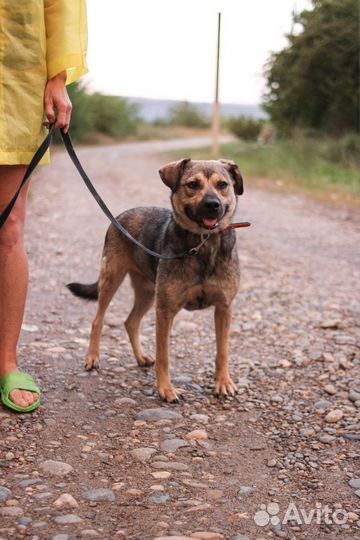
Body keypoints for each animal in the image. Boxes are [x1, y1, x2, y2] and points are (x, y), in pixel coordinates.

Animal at [66, 158, 243, 402]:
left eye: (223, 185)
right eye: (193, 185)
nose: (212, 204)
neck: (203, 244)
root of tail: (120, 215)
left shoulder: (224, 308)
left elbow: (222, 350)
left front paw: (223, 382)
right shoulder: (165, 311)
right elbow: (164, 356)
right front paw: (165, 389)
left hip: (148, 293)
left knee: (130, 322)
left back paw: (140, 358)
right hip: (112, 279)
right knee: (97, 320)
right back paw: (93, 357)